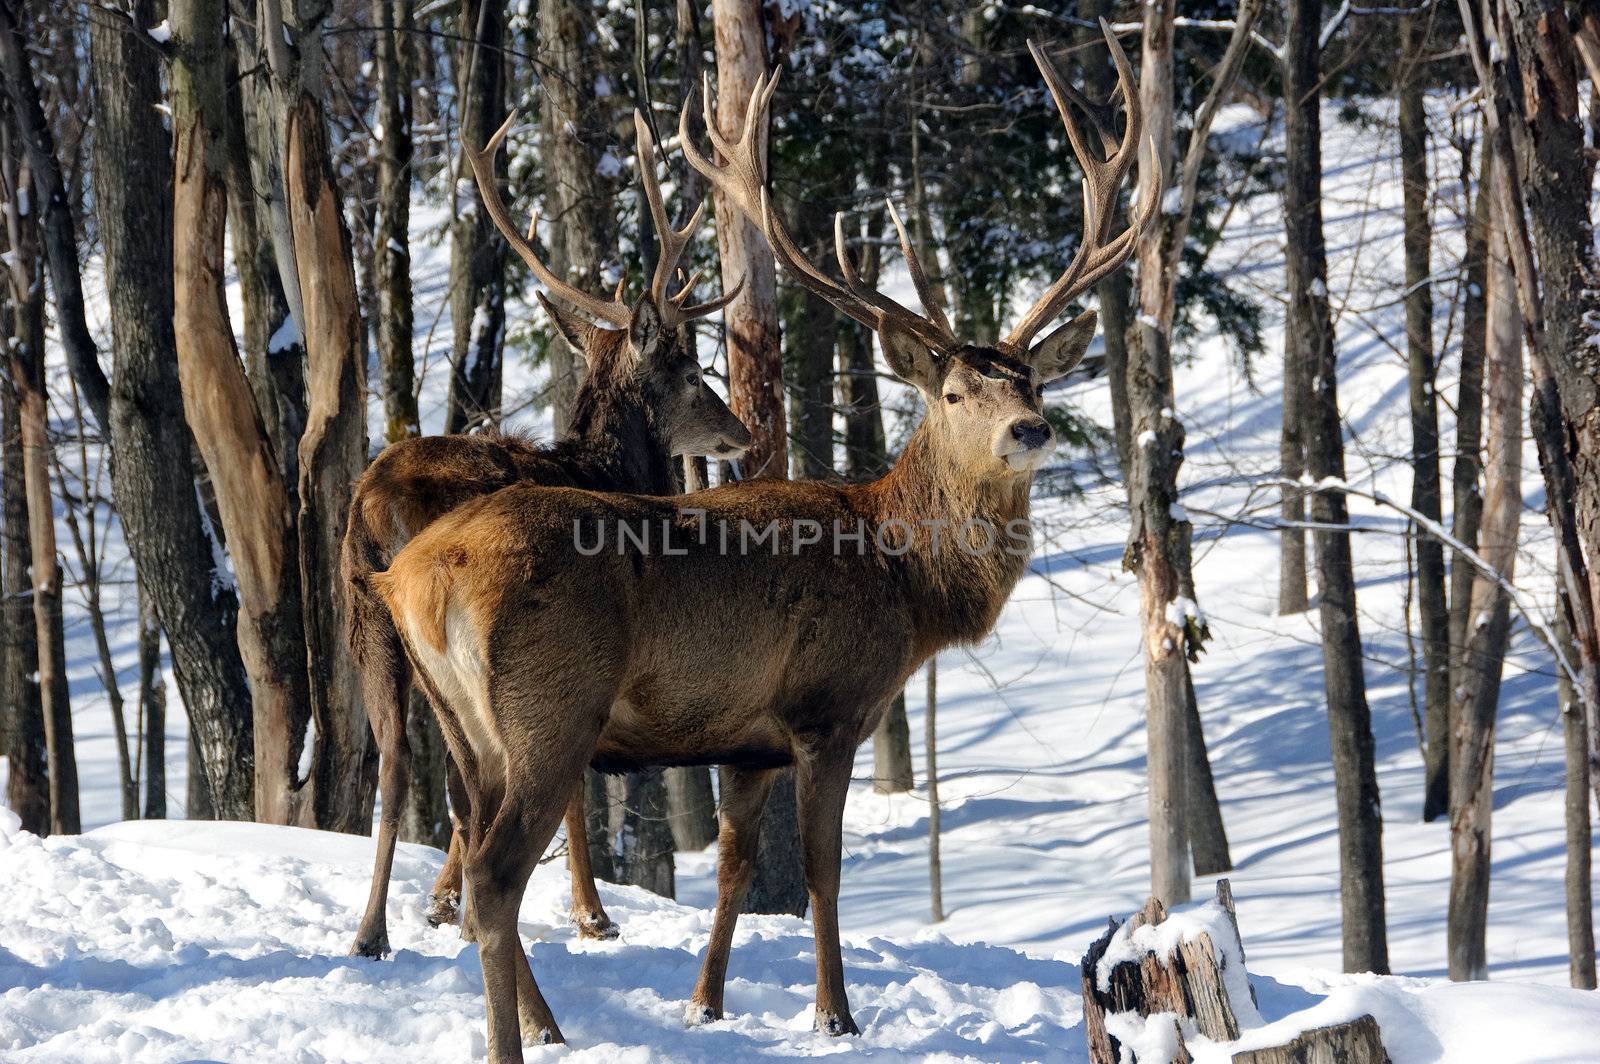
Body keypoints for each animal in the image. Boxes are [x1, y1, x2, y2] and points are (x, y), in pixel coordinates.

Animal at [342, 109, 748, 960]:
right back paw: (458, 912)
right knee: (461, 781)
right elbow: (572, 791)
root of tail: (373, 508)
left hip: (367, 623)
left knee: (396, 764)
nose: (739, 432)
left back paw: (372, 931)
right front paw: (592, 914)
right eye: (693, 372)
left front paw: (442, 906)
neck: (609, 470)